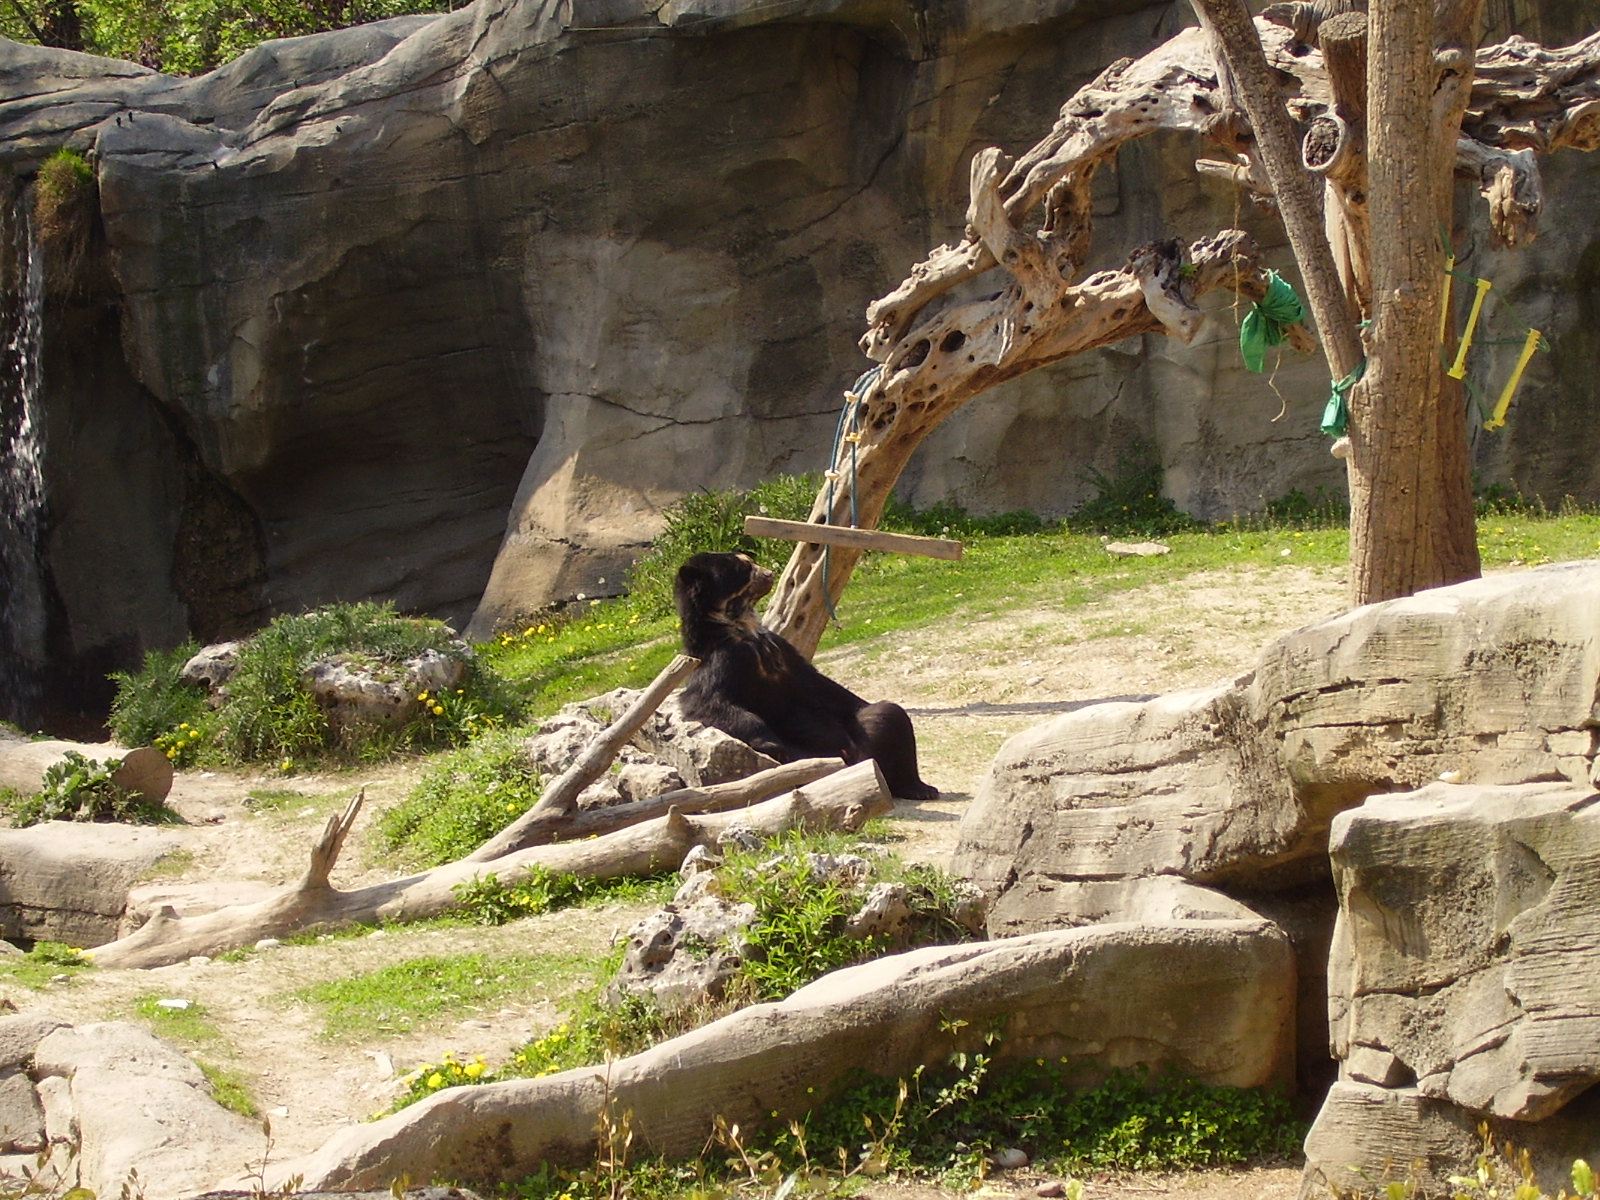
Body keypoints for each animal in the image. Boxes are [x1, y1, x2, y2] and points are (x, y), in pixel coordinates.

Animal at [673, 551, 938, 801]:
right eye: (743, 567)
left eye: (748, 560)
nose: (769, 574)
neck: (742, 628)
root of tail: (861, 759)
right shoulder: (723, 659)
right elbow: (708, 701)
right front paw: (768, 742)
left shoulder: (783, 650)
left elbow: (819, 684)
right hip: (807, 757)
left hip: (865, 736)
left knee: (892, 717)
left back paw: (920, 788)